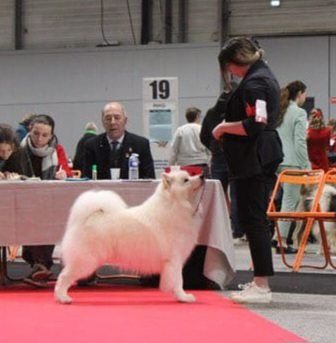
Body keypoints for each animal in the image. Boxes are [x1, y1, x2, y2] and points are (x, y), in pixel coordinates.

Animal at [54, 171, 205, 304]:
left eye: (191, 174)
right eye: (186, 180)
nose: (202, 175)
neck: (174, 205)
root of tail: (88, 217)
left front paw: (178, 296)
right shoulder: (175, 259)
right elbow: (179, 281)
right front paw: (184, 297)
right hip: (86, 261)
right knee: (63, 277)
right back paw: (63, 298)